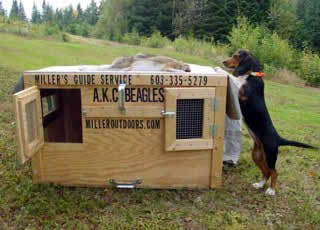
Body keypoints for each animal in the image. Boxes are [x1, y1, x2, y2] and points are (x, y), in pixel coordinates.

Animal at [224, 50, 316, 196]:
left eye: (236, 56)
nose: (223, 62)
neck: (251, 75)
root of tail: (279, 139)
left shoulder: (242, 95)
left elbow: (236, 82)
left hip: (270, 155)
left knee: (275, 172)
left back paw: (271, 190)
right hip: (257, 155)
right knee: (266, 171)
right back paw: (260, 184)